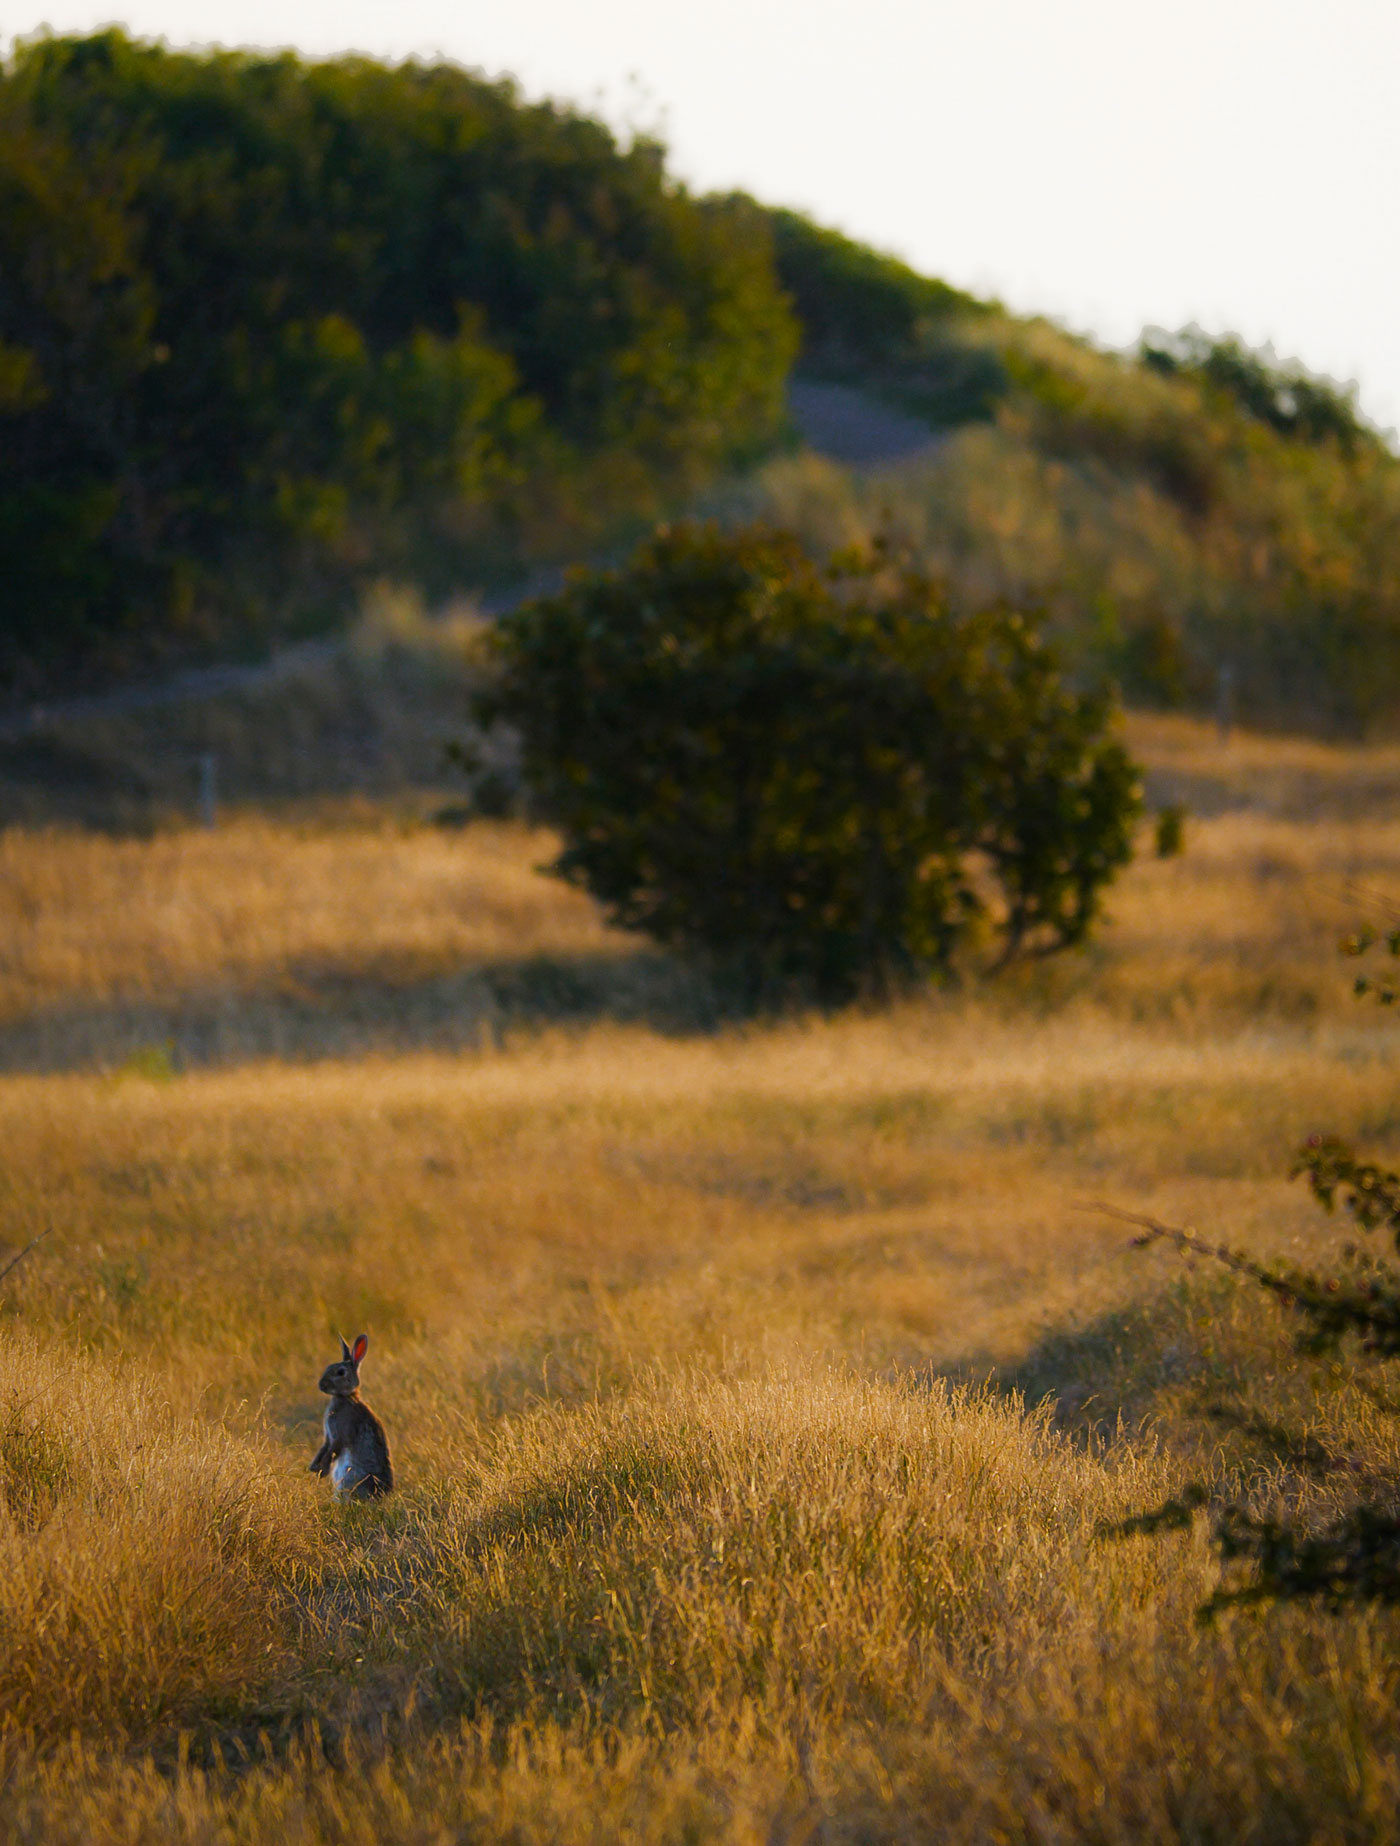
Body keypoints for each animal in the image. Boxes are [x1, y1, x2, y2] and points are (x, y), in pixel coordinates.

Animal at [308, 1336, 395, 1491]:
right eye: (328, 1367)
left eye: (341, 1372)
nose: (321, 1385)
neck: (346, 1396)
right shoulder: (328, 1437)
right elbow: (324, 1448)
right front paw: (314, 1467)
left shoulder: (341, 1434)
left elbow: (333, 1450)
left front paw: (322, 1471)